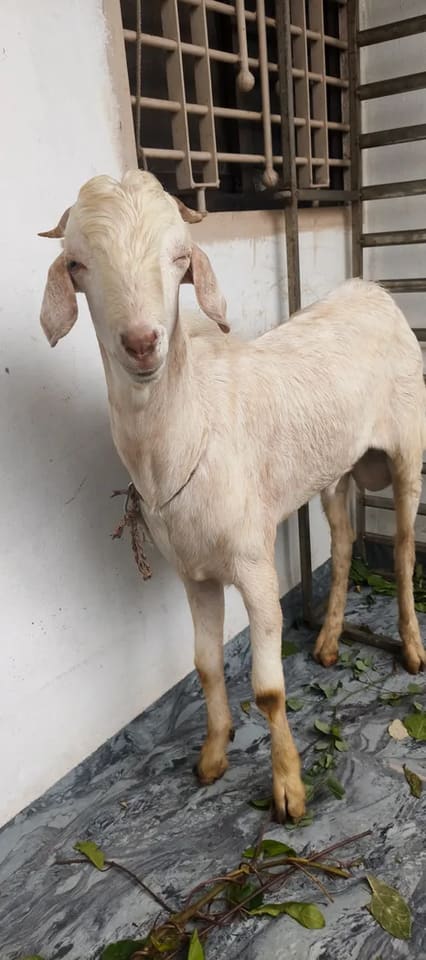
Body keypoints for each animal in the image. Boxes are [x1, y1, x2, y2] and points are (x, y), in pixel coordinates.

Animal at [39, 170, 426, 821]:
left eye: (179, 258)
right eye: (78, 264)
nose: (141, 342)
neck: (190, 428)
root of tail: (369, 288)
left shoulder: (254, 561)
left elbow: (268, 689)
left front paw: (289, 789)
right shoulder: (192, 571)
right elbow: (204, 665)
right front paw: (213, 755)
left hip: (407, 448)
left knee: (399, 546)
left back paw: (412, 648)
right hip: (334, 468)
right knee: (344, 541)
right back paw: (328, 641)